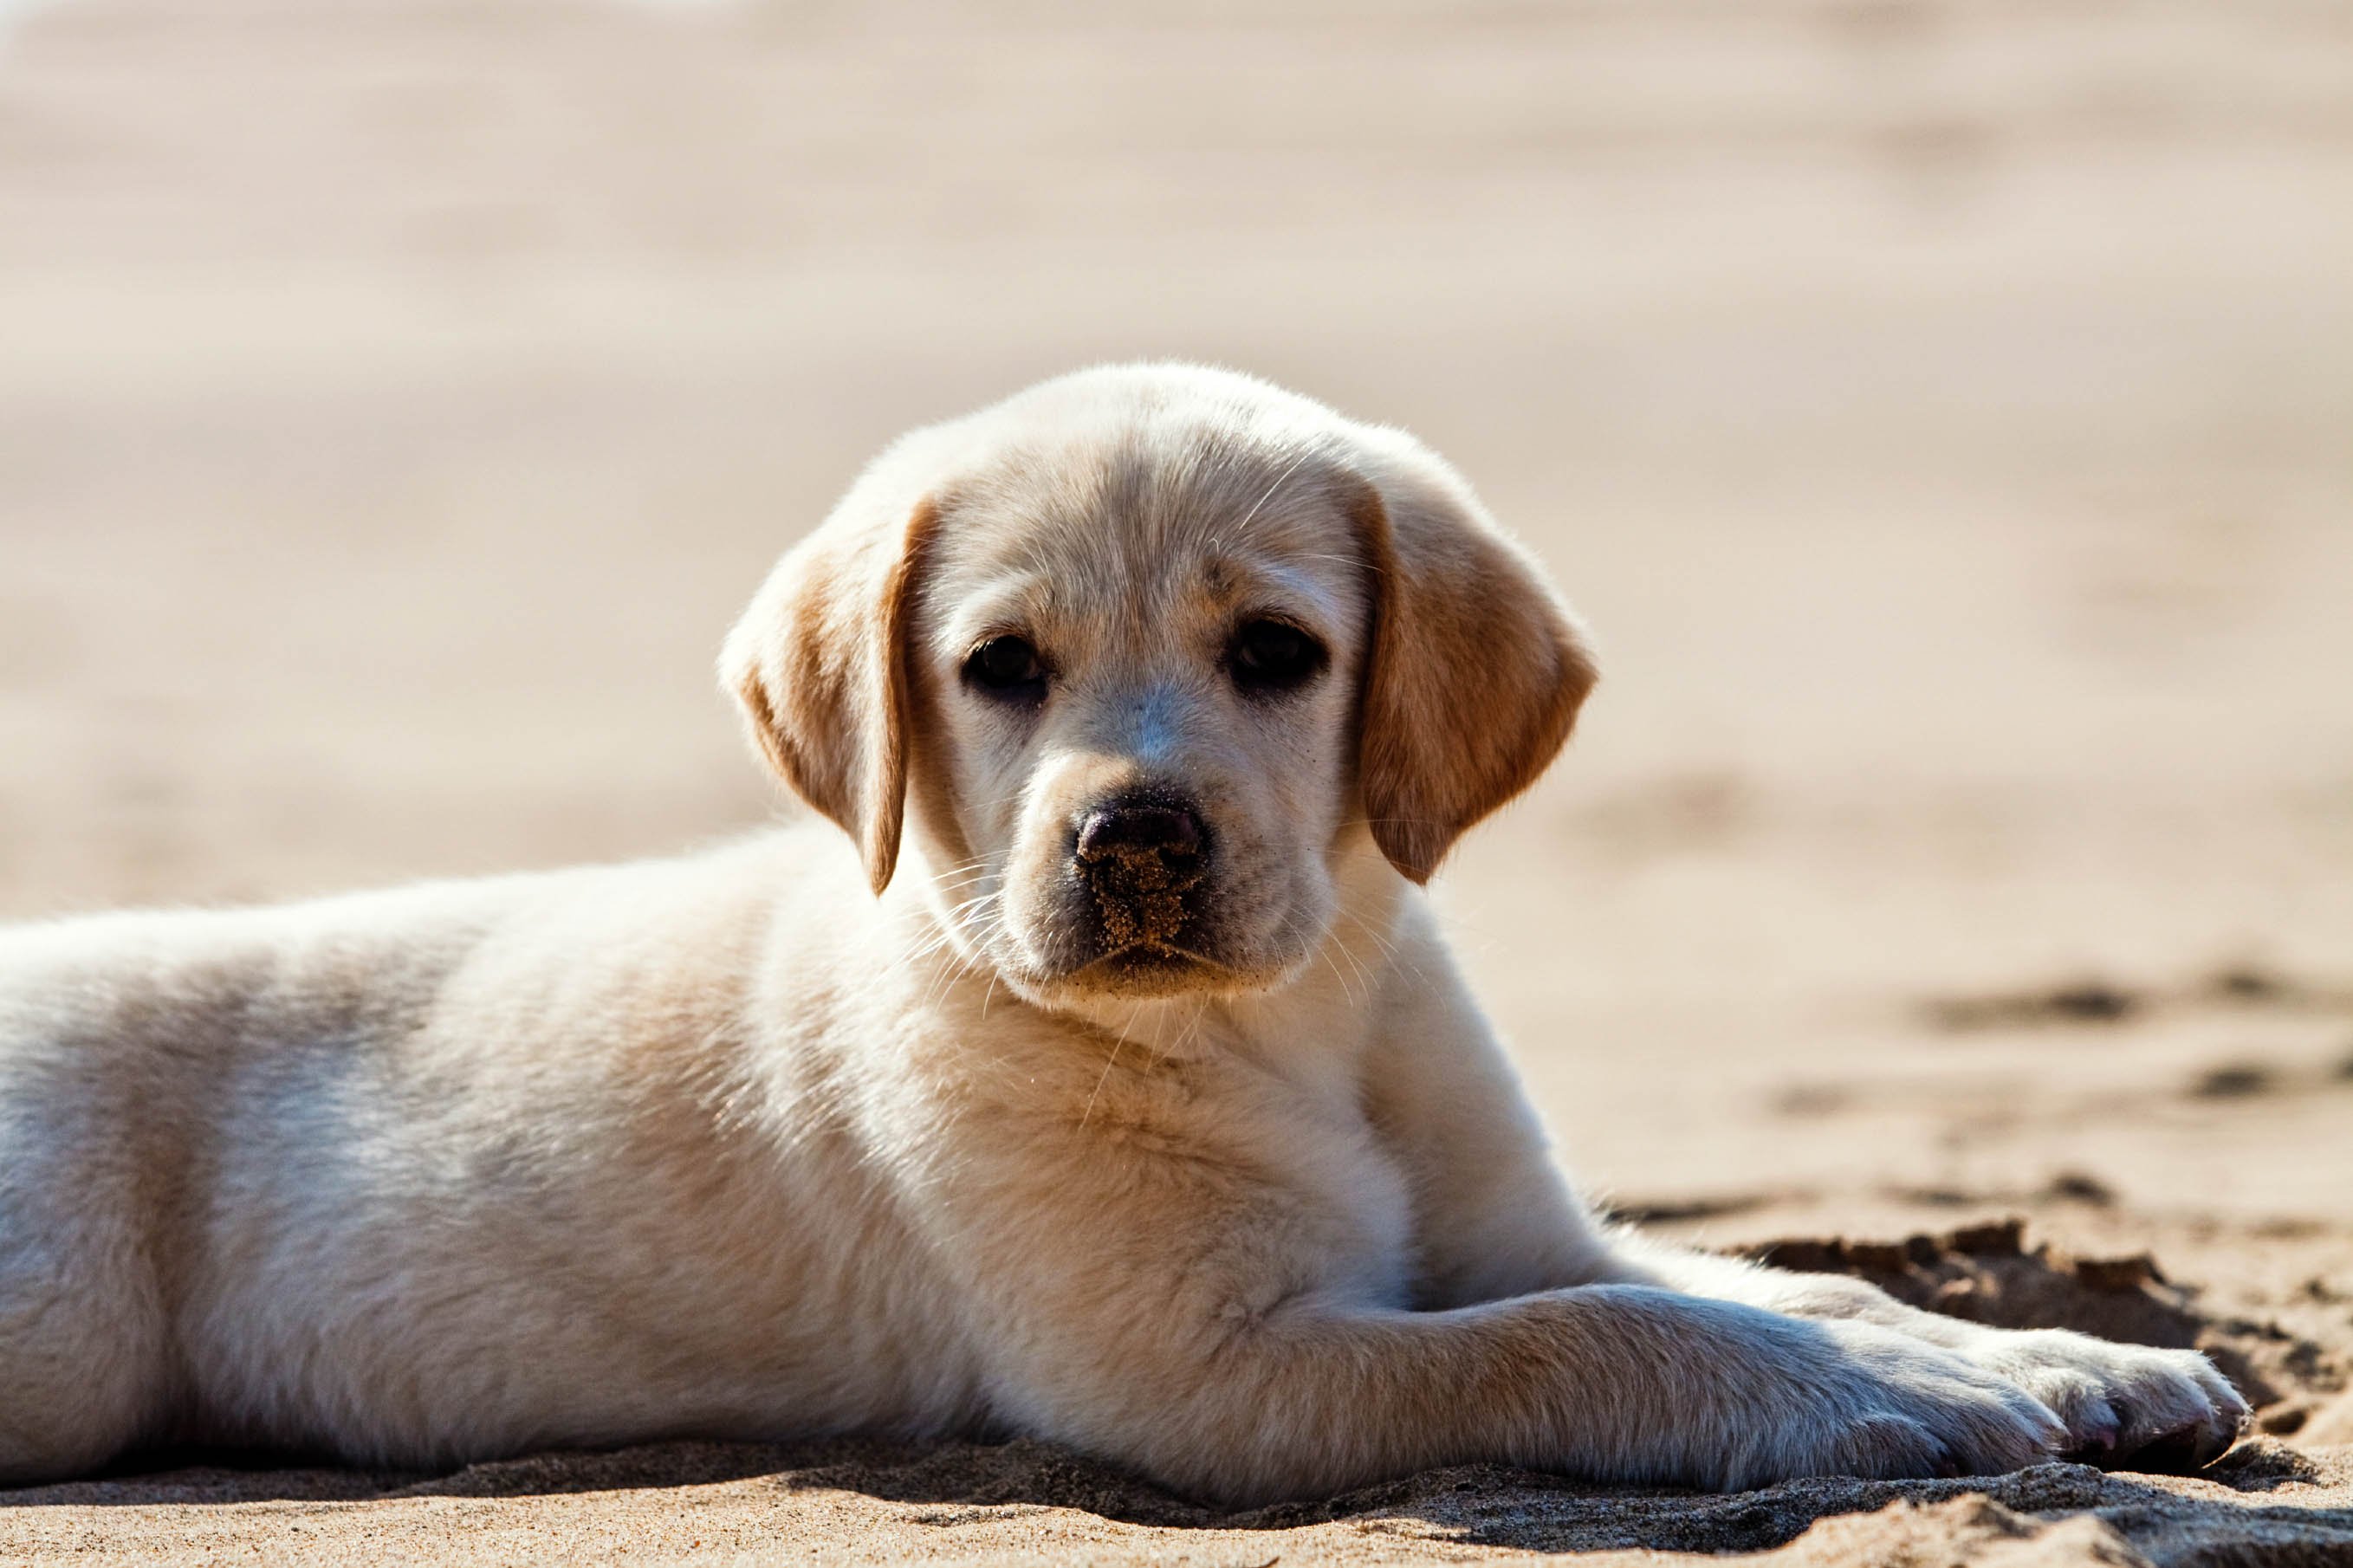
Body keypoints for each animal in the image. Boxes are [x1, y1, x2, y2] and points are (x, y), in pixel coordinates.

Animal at [0, 360, 2240, 1497]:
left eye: (1276, 652)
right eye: (999, 668)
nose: (1134, 837)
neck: (1288, 1019)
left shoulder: (1508, 1222)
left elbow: (1755, 1278)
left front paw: (2036, 1349)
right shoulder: (1199, 1372)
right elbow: (1587, 1338)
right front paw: (1918, 1398)